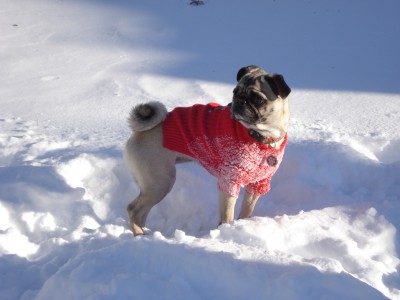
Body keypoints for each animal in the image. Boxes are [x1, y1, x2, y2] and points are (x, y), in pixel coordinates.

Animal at [123, 65, 290, 234]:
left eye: (257, 98)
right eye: (235, 92)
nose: (239, 101)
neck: (261, 137)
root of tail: (139, 131)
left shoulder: (258, 184)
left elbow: (246, 211)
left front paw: (243, 224)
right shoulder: (229, 181)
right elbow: (227, 215)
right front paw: (226, 231)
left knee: (142, 212)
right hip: (161, 181)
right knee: (134, 209)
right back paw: (140, 235)